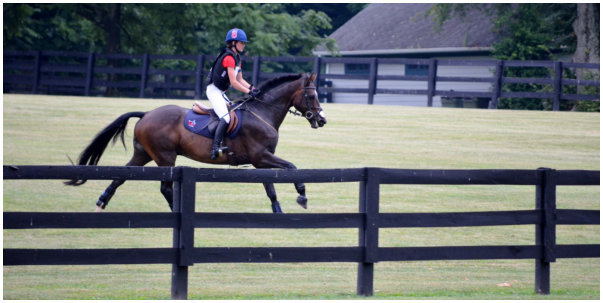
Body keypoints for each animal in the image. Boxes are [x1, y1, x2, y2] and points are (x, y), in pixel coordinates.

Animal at [66, 73, 328, 214]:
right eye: (312, 95)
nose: (322, 120)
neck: (262, 112)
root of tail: (147, 114)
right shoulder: (261, 156)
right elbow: (293, 167)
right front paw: (302, 196)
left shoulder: (261, 162)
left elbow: (270, 187)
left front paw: (277, 210)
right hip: (165, 157)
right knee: (165, 188)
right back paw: (176, 211)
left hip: (143, 154)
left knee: (121, 176)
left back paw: (101, 203)